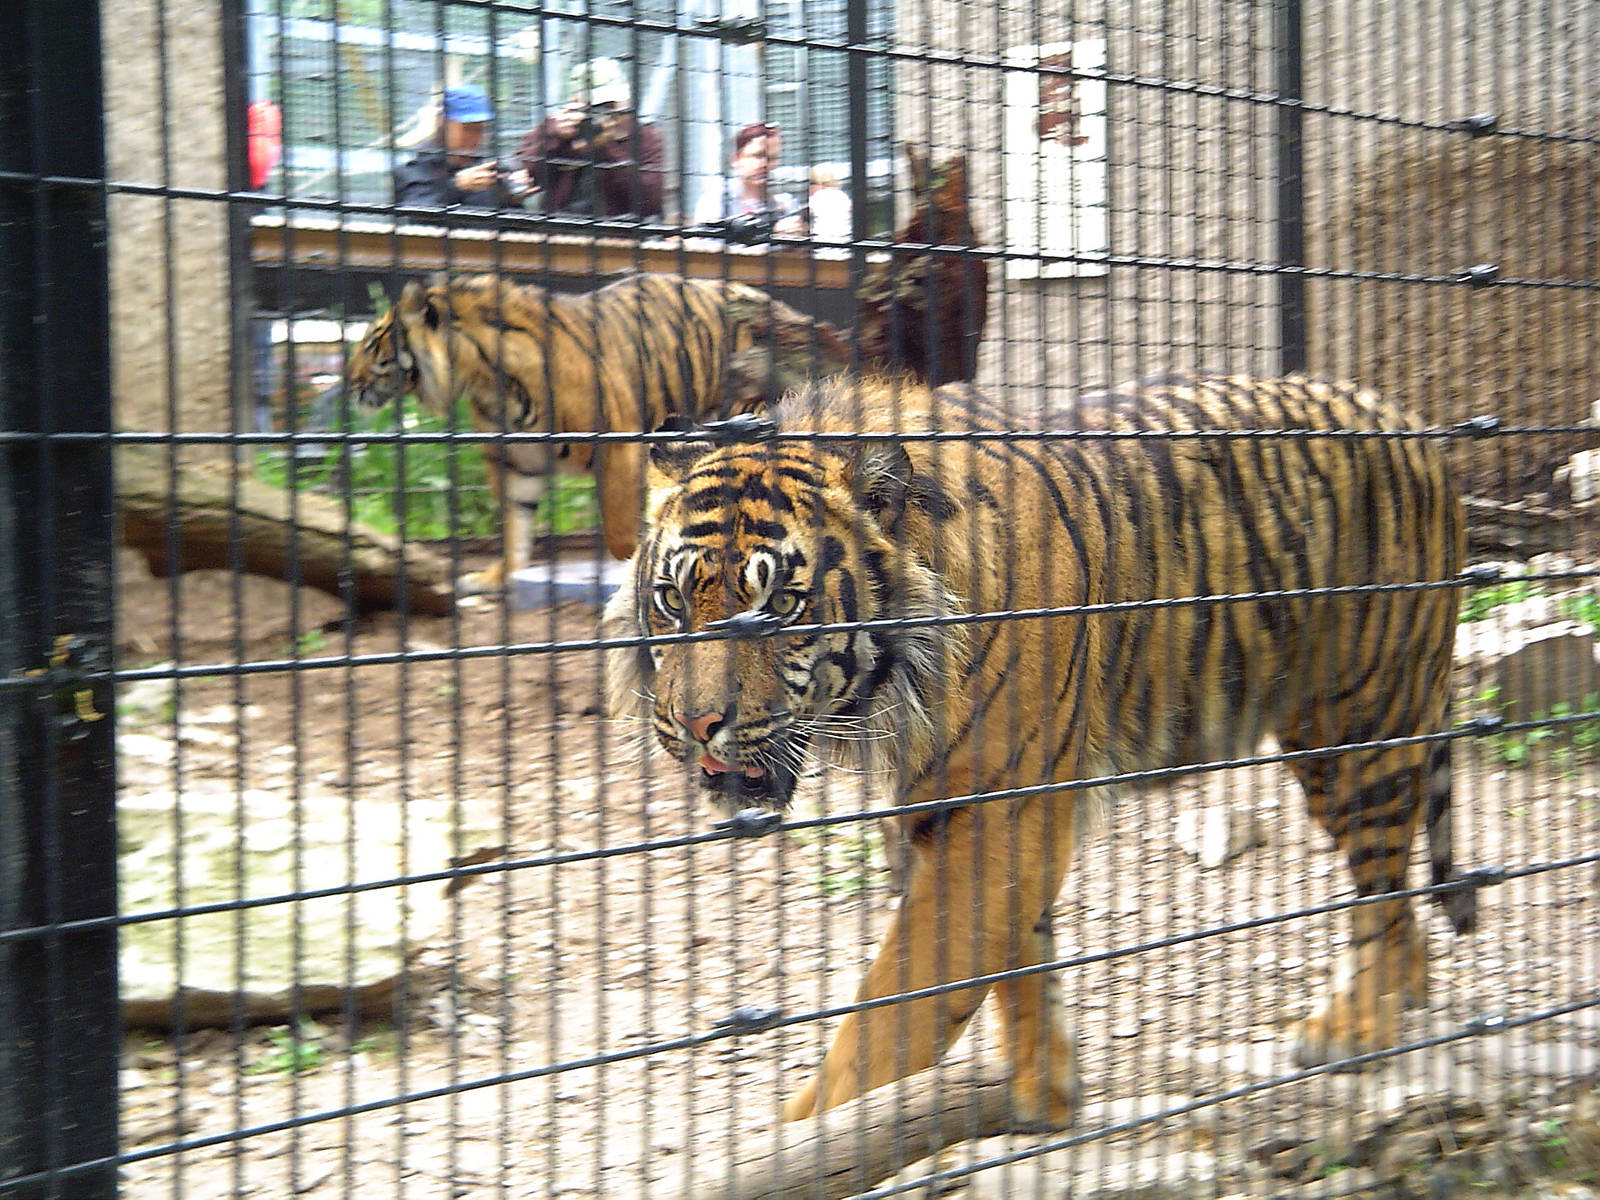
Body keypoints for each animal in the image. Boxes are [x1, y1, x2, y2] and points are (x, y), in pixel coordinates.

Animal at [346, 271, 850, 592]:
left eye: (372, 344)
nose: (347, 383)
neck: (486, 380)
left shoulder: (617, 445)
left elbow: (619, 531)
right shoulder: (515, 462)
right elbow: (515, 526)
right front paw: (493, 577)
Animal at [603, 369, 1477, 1127]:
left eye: (779, 607)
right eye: (673, 600)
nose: (694, 722)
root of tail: (1405, 417)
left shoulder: (1002, 812)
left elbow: (895, 1014)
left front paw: (809, 1139)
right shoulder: (957, 810)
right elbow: (1019, 969)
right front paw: (1046, 1096)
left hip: (1362, 725)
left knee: (1380, 885)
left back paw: (1355, 1030)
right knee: (1394, 892)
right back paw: (1403, 1000)